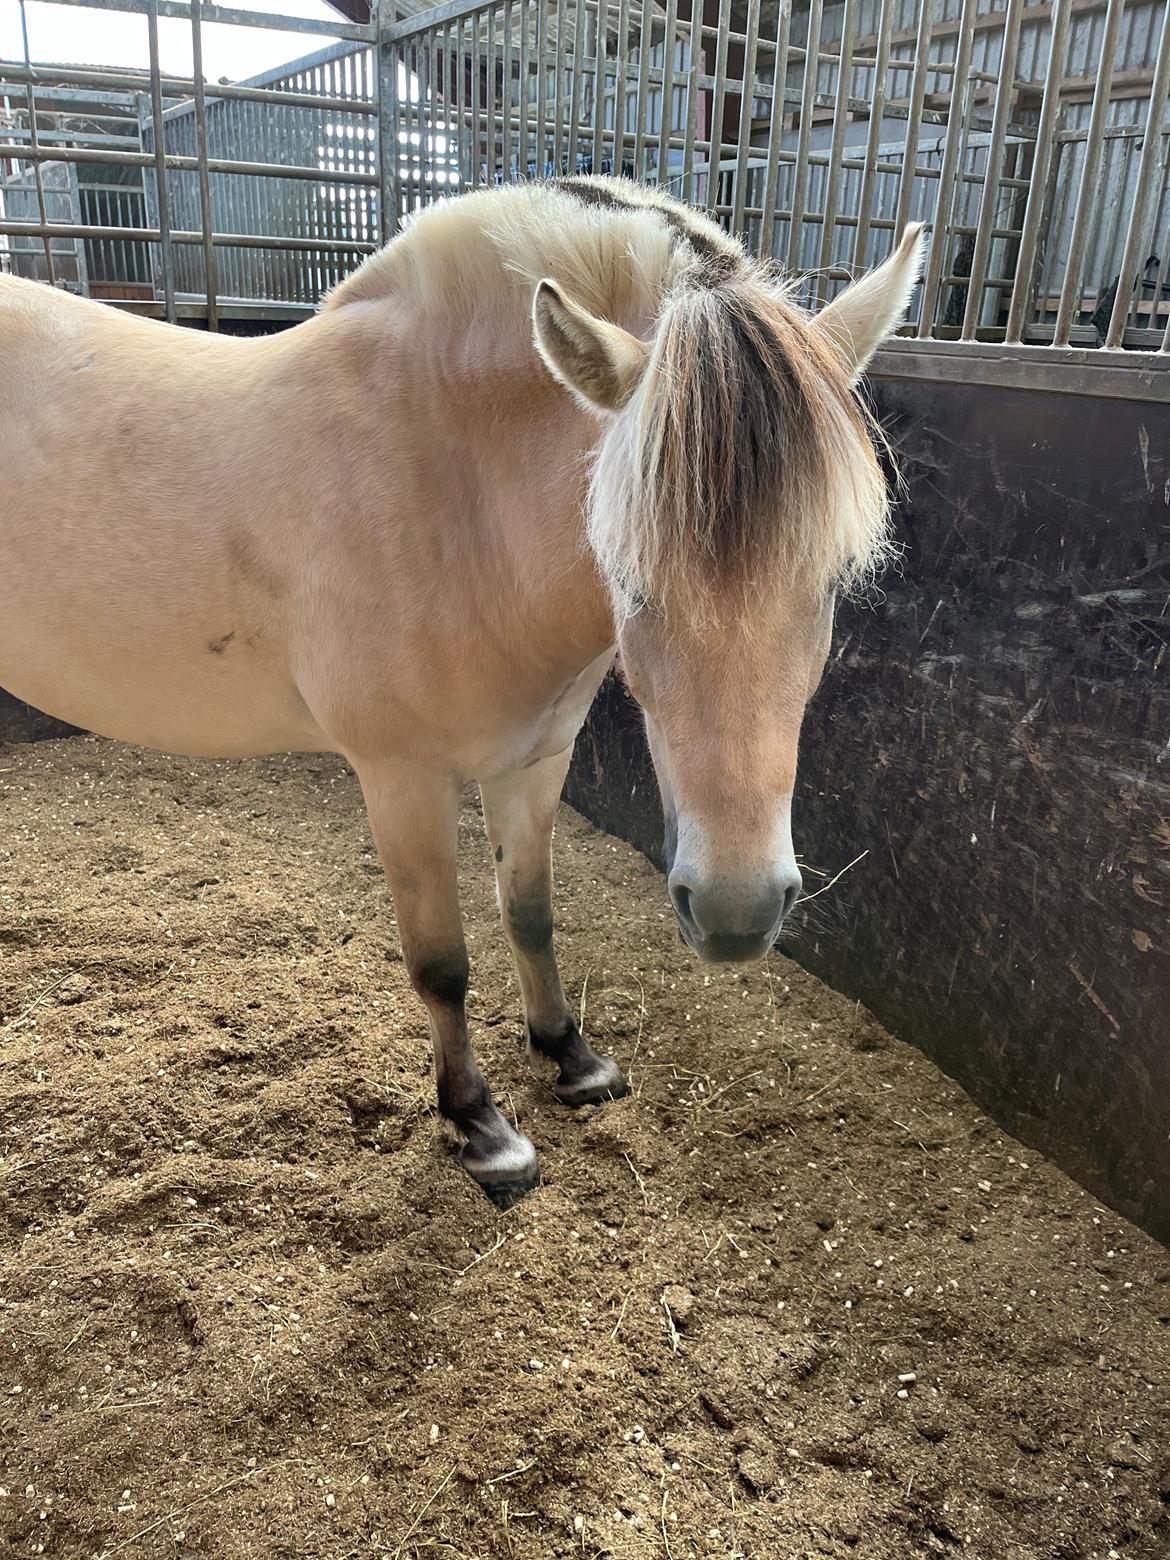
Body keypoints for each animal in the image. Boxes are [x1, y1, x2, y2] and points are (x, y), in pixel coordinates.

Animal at [0, 182, 923, 1204]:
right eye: (629, 577)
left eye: (833, 582)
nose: (736, 914)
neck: (449, 495)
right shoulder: (402, 779)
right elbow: (441, 964)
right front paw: (482, 1127)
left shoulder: (534, 758)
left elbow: (529, 912)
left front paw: (571, 1058)